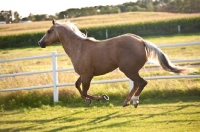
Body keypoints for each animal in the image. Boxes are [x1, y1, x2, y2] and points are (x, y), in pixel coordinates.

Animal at [38, 19, 194, 108]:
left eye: (49, 31)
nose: (40, 43)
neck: (79, 48)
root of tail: (142, 41)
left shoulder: (87, 75)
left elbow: (85, 90)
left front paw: (102, 97)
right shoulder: (84, 74)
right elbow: (77, 86)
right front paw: (88, 101)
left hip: (128, 69)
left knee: (142, 82)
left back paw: (133, 101)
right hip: (130, 70)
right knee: (137, 83)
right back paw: (127, 102)